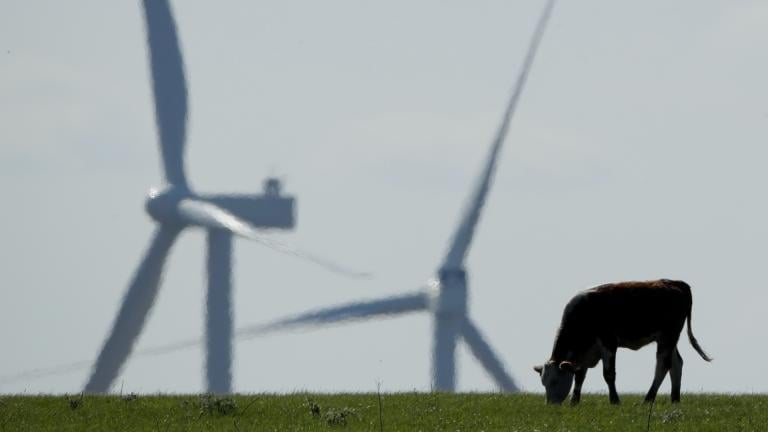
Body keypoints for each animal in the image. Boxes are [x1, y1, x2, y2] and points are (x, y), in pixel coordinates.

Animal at [536, 280, 712, 404]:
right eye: (543, 382)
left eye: (555, 381)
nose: (550, 405)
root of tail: (676, 282)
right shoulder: (586, 351)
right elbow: (580, 375)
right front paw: (574, 402)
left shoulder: (608, 342)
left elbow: (608, 374)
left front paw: (614, 401)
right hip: (669, 339)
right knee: (676, 364)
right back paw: (674, 399)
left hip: (668, 337)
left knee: (662, 366)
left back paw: (648, 399)